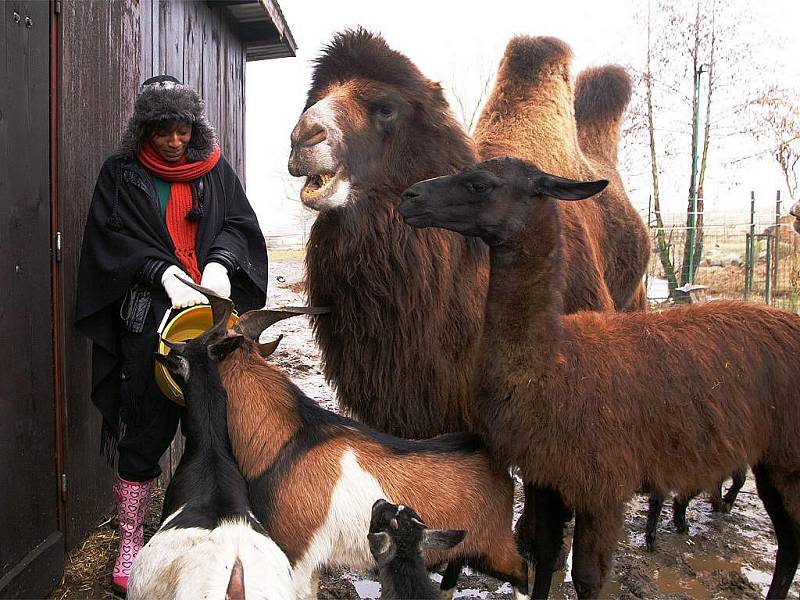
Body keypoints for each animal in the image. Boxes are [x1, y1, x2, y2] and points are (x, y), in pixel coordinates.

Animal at [174, 282, 528, 600]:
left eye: (200, 342)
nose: (175, 349)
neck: (287, 441)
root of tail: (493, 459)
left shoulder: (297, 553)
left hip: (495, 547)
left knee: (523, 572)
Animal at [400, 157, 800, 600]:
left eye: (480, 184)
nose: (409, 196)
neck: (551, 365)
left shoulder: (602, 486)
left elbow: (587, 577)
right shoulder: (545, 475)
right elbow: (544, 554)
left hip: (789, 460)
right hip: (773, 459)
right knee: (790, 545)